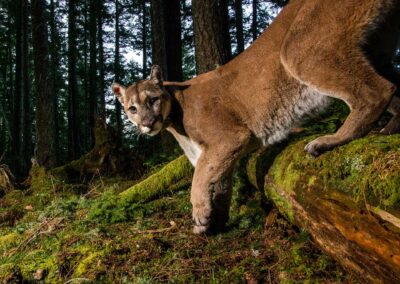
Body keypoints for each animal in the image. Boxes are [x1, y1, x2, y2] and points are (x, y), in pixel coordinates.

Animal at [111, 0, 400, 234]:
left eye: (152, 100)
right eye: (131, 108)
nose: (147, 124)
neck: (174, 120)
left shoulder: (228, 138)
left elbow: (200, 178)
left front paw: (200, 213)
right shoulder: (220, 152)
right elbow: (219, 183)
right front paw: (213, 222)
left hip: (300, 48)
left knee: (377, 91)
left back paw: (330, 140)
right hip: (377, 51)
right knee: (394, 87)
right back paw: (389, 129)